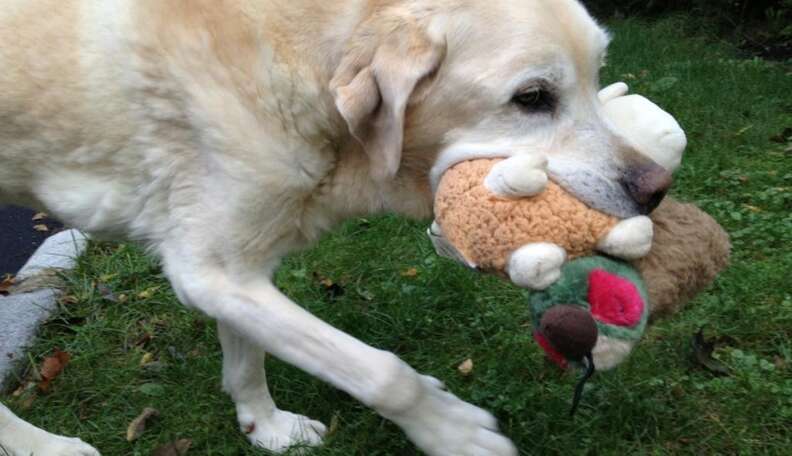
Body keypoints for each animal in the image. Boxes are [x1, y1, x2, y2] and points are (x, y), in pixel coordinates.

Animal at [0, 1, 676, 454]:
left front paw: (266, 426)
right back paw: (46, 447)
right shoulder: (209, 271)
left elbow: (247, 355)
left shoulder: (236, 265)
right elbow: (381, 372)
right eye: (532, 98)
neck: (305, 54)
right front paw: (455, 431)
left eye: (596, 77)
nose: (658, 190)